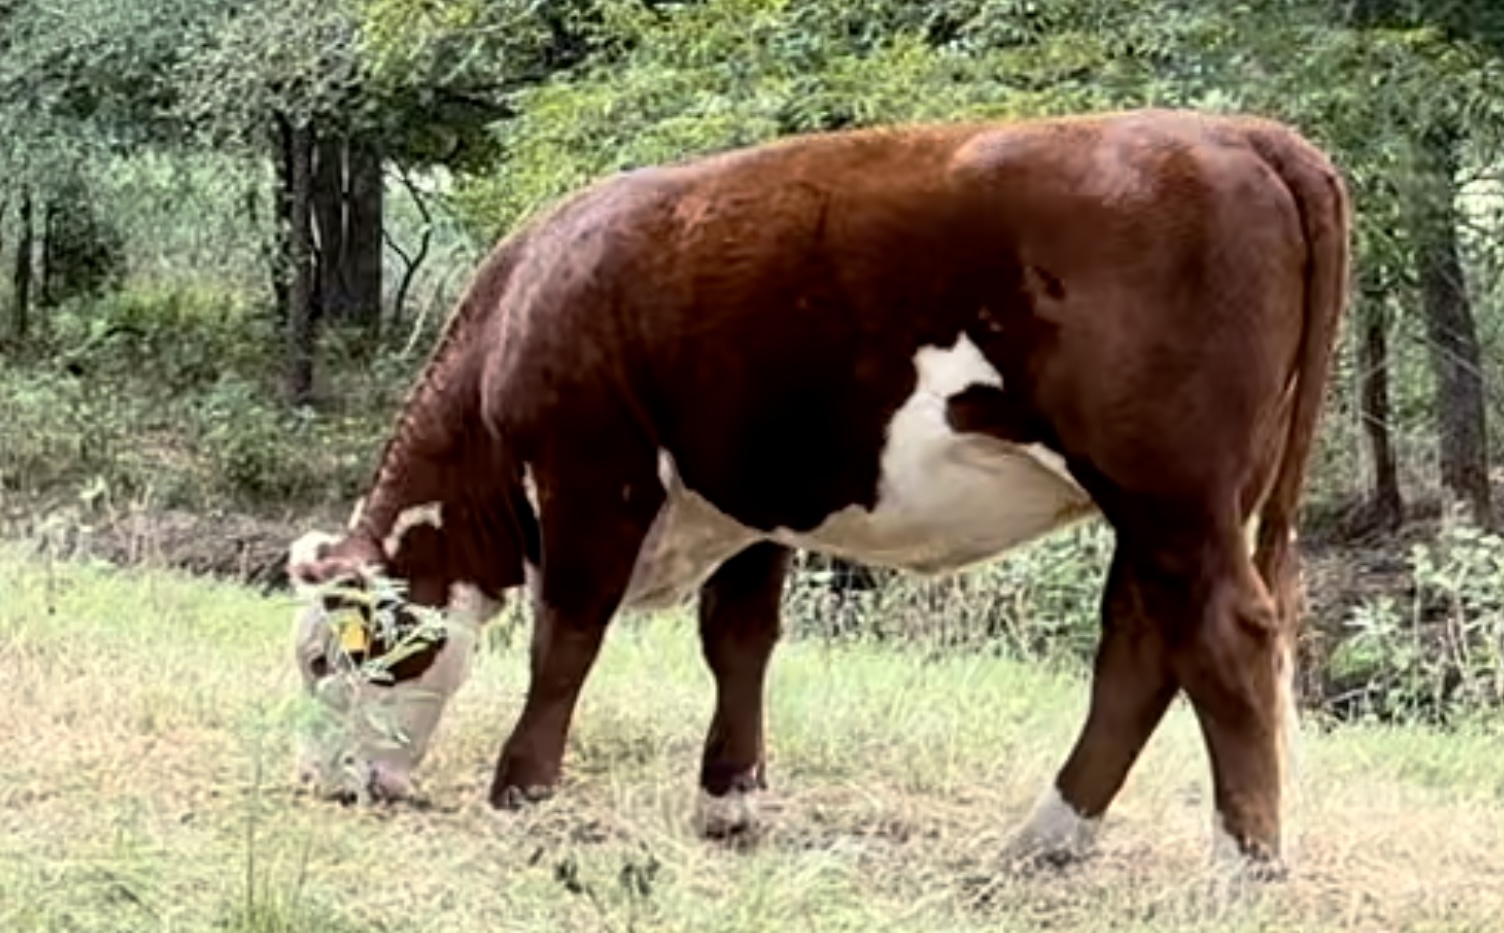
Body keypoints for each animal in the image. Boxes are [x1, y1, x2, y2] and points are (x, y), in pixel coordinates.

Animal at [284, 105, 1353, 878]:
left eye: (323, 657)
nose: (326, 785)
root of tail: (1242, 133)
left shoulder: (593, 469)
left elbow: (567, 636)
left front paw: (522, 786)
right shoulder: (749, 491)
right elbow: (740, 639)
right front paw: (728, 799)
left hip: (1170, 488)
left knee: (1222, 637)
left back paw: (1243, 866)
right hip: (1171, 506)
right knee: (1140, 643)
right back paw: (1045, 839)